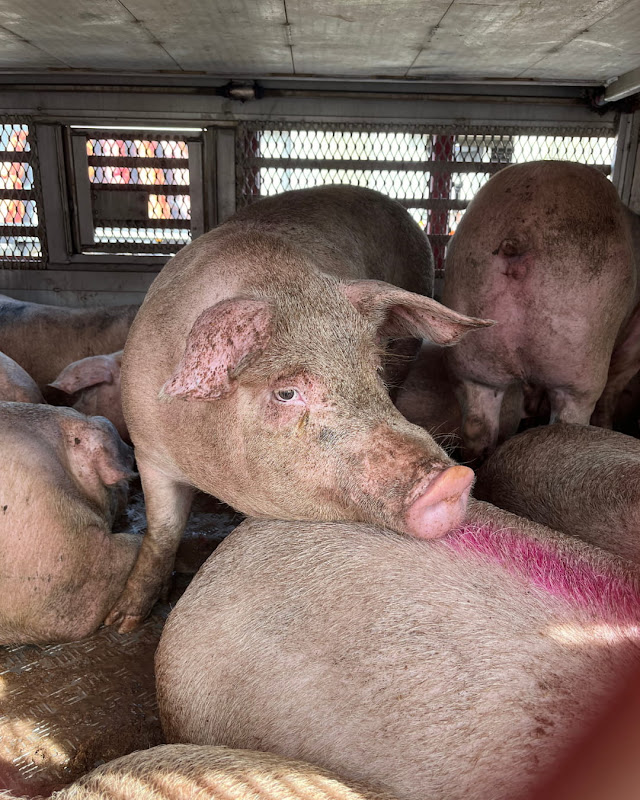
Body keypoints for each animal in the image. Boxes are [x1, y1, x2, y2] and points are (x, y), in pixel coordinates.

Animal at [107, 184, 492, 631]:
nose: (454, 480)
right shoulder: (147, 451)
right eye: (287, 393)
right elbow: (162, 531)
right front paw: (122, 622)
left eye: (374, 370)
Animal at [442, 160, 638, 462]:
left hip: (471, 353)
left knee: (477, 427)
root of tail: (519, 237)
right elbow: (615, 386)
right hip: (579, 357)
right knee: (569, 418)